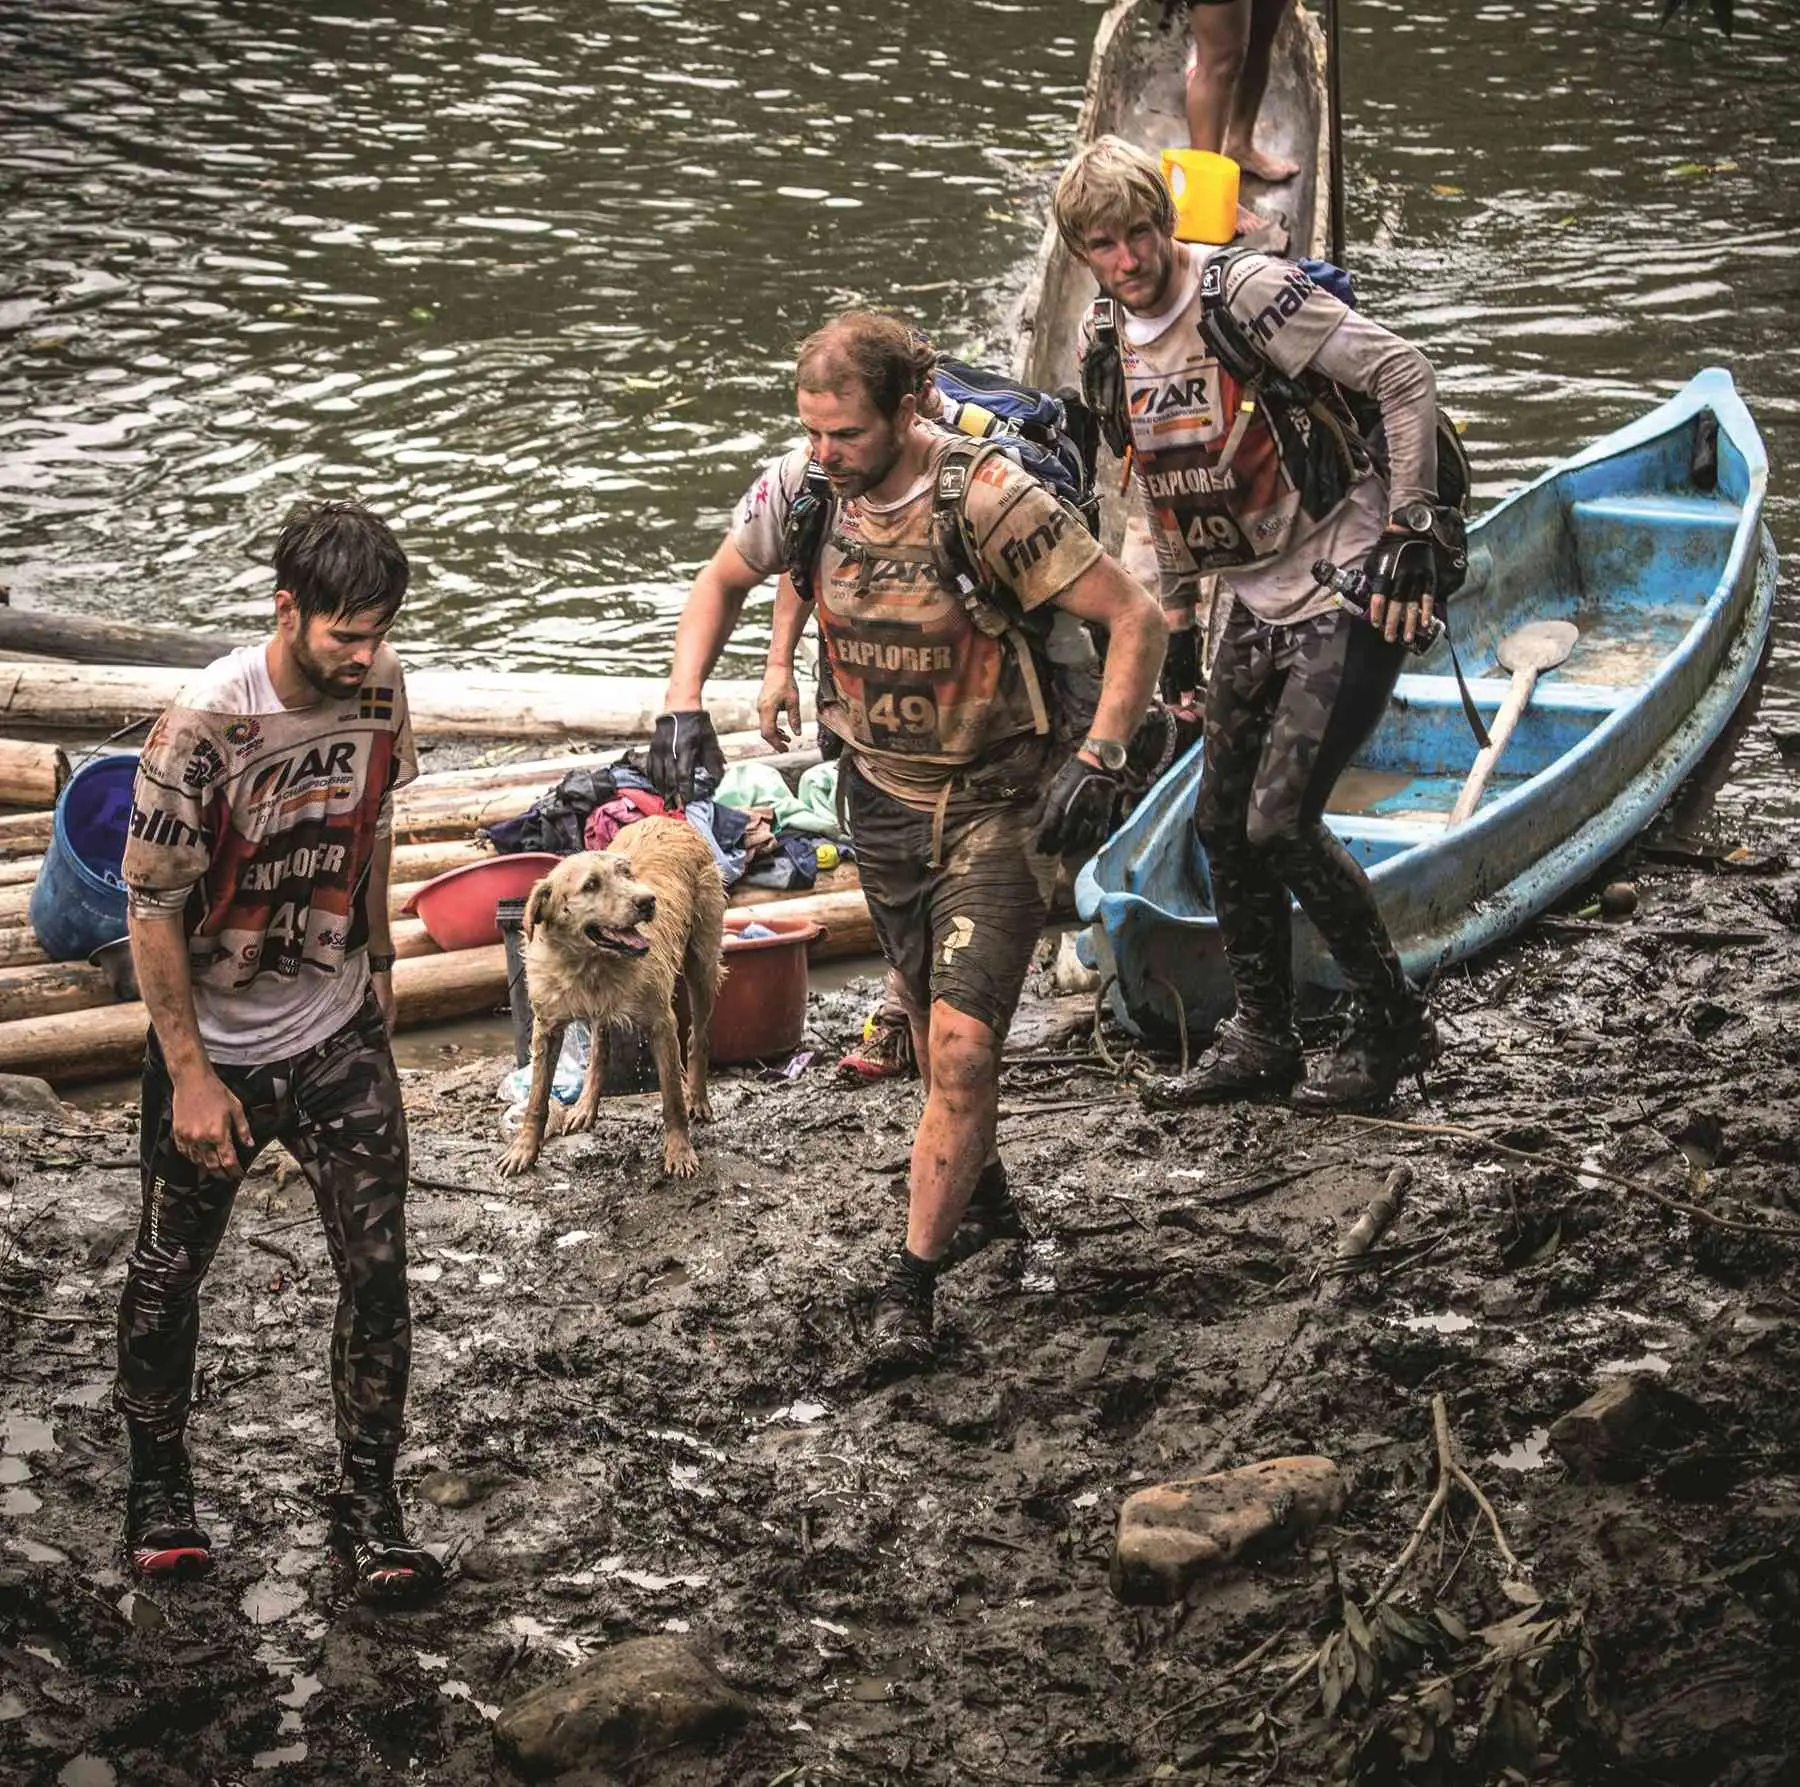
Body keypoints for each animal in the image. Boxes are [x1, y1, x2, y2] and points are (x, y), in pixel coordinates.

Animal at [496, 817, 727, 1180]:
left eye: (627, 875)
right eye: (590, 885)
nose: (648, 901)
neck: (590, 965)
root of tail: (667, 818)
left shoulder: (662, 1024)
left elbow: (672, 1100)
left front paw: (679, 1152)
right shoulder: (547, 1028)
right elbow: (536, 1099)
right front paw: (524, 1150)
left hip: (702, 964)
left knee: (698, 1038)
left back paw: (699, 1099)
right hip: (602, 1016)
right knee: (599, 1051)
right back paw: (585, 1106)